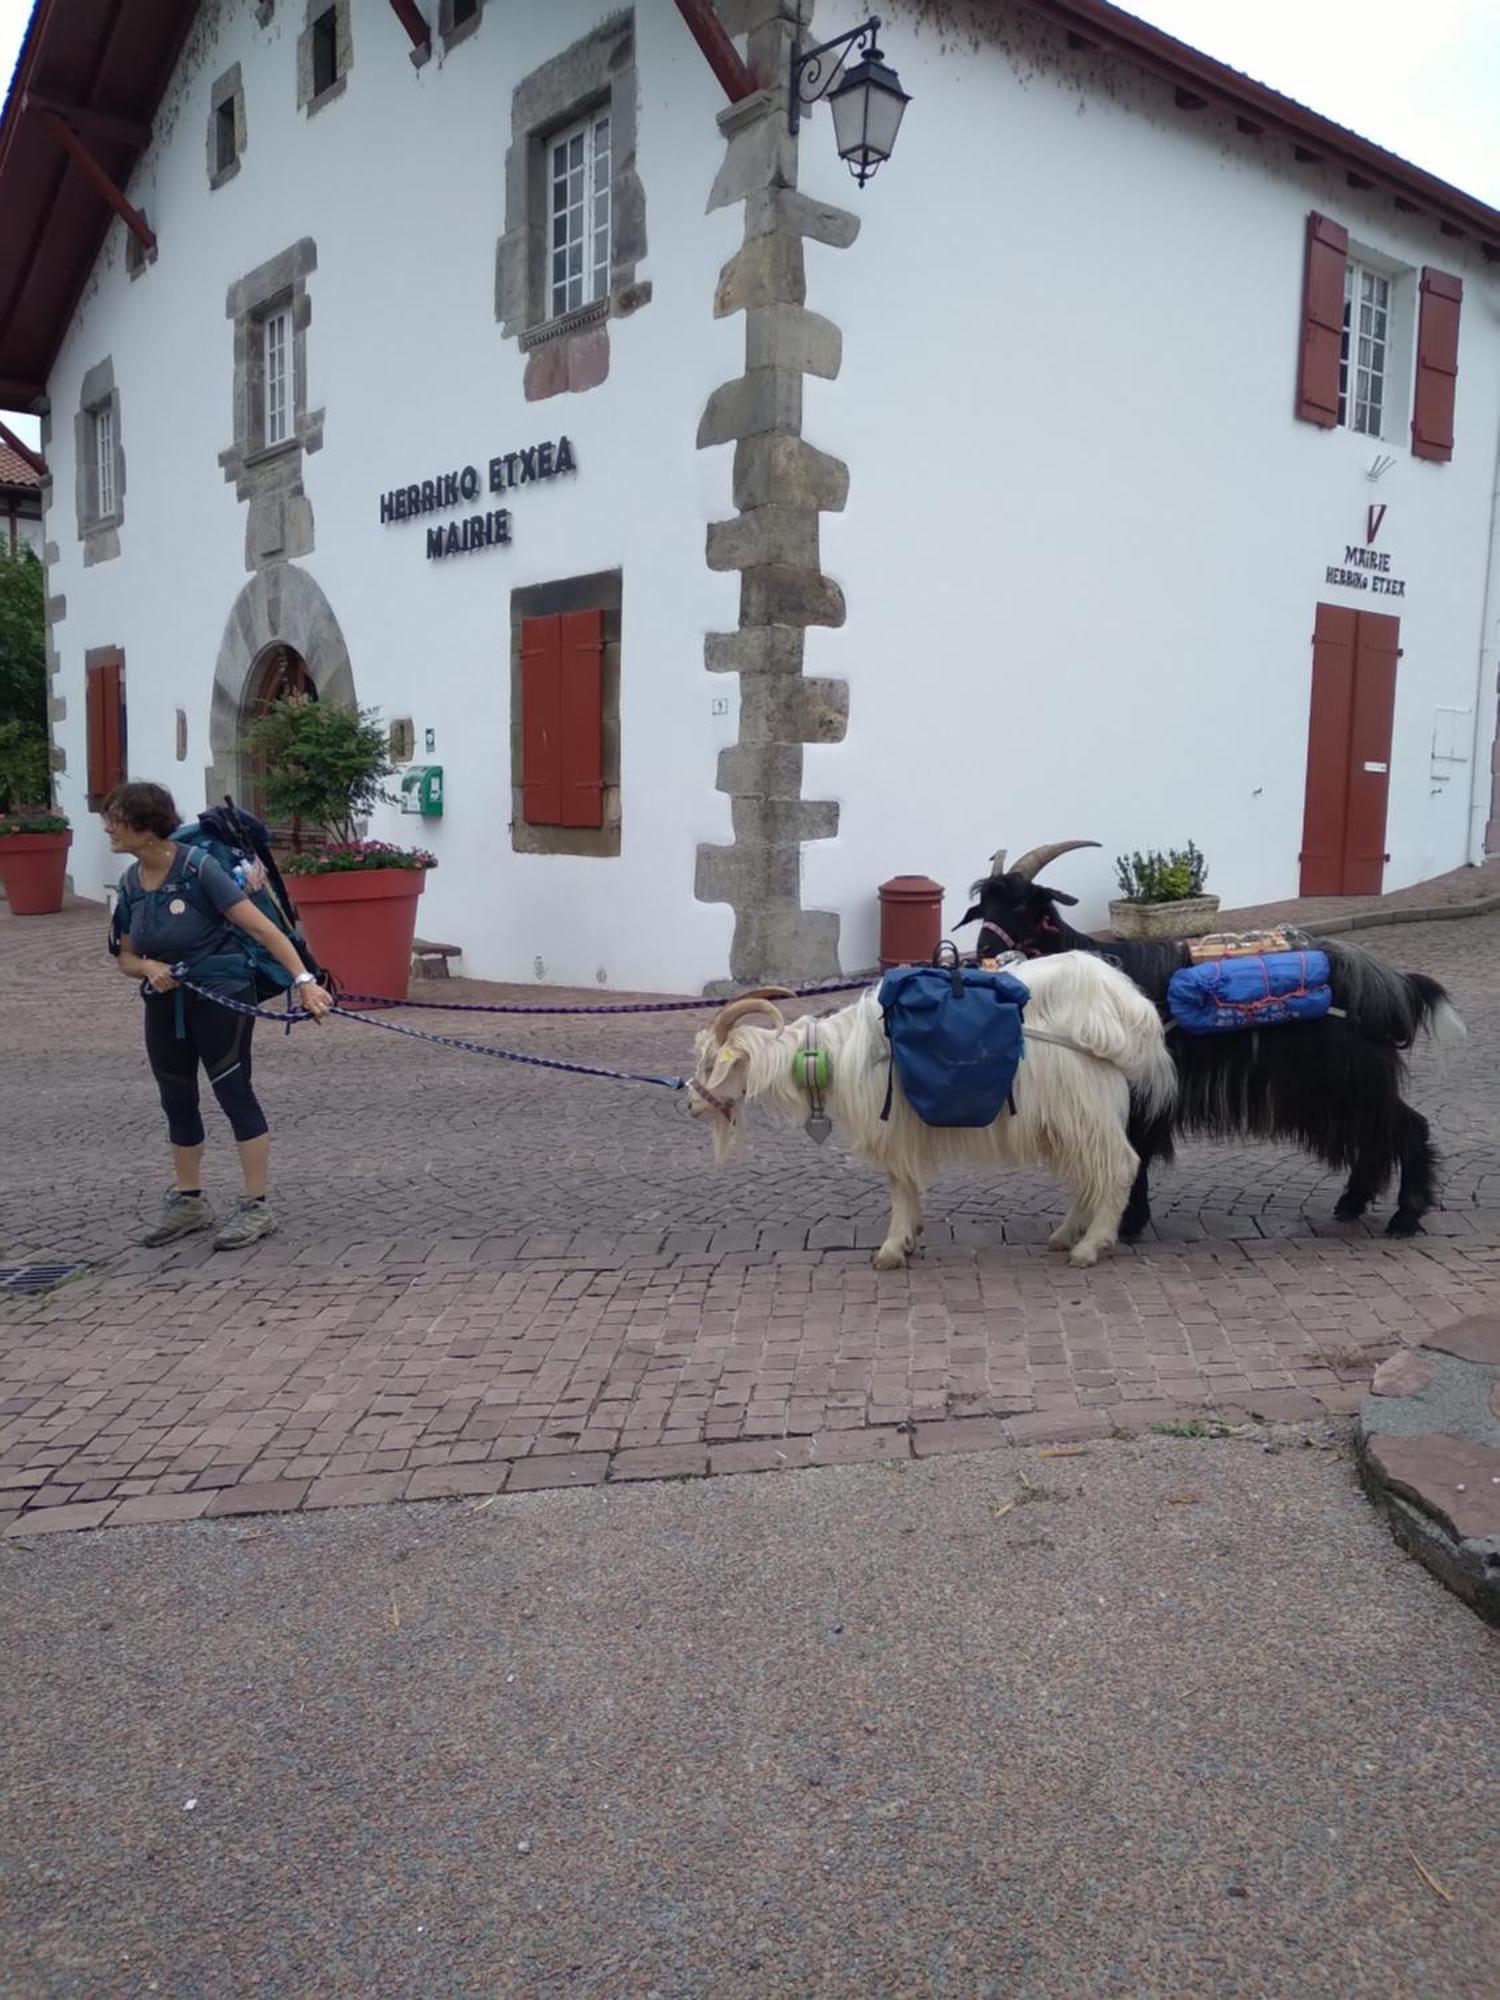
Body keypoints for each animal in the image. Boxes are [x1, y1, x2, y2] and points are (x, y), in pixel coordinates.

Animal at [688, 952, 1184, 1264]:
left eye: (713, 1063)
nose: (691, 1103)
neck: (835, 1052)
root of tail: (1127, 1010)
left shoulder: (894, 1127)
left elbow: (900, 1183)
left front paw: (892, 1248)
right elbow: (906, 1183)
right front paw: (909, 1238)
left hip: (1086, 1107)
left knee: (1119, 1166)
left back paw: (1091, 1247)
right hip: (1067, 1119)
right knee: (1087, 1172)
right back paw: (1065, 1236)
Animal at [964, 840, 1472, 1232]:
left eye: (1023, 902)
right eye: (983, 907)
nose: (985, 949)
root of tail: (1392, 987)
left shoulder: (1144, 1089)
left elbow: (1137, 1150)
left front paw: (1128, 1223)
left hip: (1355, 1077)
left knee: (1408, 1128)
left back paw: (1404, 1218)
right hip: (1343, 1086)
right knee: (1375, 1140)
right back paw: (1351, 1204)